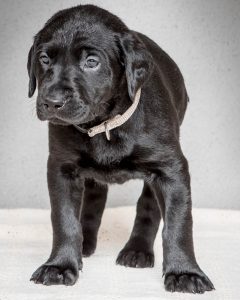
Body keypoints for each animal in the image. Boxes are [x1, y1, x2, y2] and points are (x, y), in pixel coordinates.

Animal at [27, 4, 214, 294]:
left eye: (92, 62)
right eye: (44, 58)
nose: (52, 102)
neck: (105, 125)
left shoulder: (171, 169)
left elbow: (179, 223)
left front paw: (185, 272)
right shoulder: (61, 167)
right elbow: (64, 219)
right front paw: (60, 265)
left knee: (148, 205)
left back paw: (137, 250)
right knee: (94, 197)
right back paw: (85, 244)